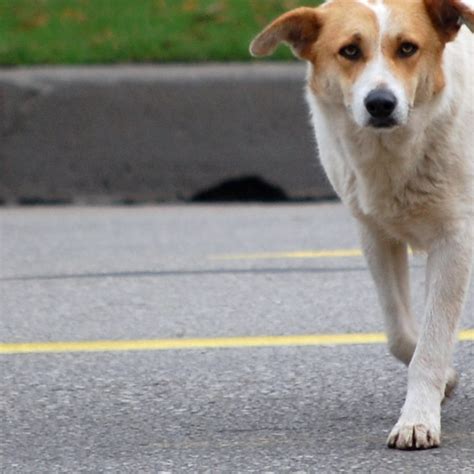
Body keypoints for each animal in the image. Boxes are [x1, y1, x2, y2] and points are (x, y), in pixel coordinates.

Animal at [250, 0, 472, 452]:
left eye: (408, 48)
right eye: (350, 51)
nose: (381, 103)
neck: (394, 156)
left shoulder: (454, 239)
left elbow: (433, 340)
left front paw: (418, 419)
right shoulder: (375, 234)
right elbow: (402, 336)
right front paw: (446, 380)